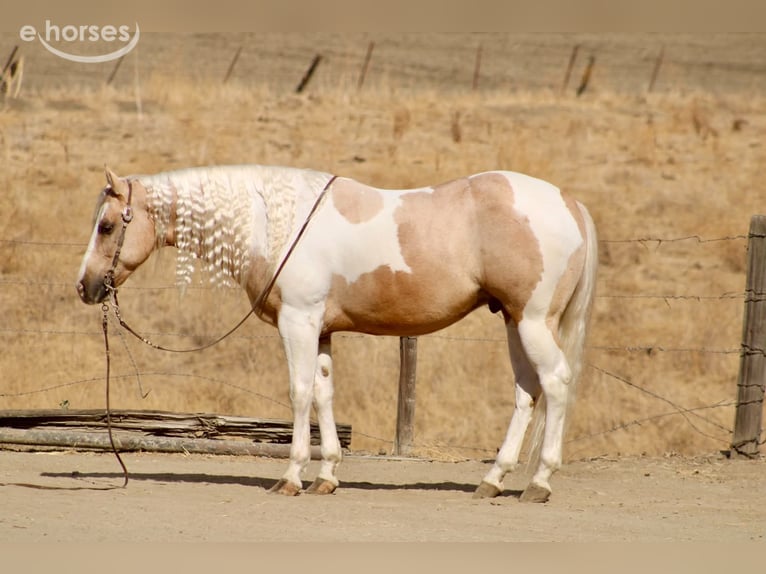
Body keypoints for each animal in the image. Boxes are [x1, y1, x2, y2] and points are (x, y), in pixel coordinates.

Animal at [76, 164, 597, 502]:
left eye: (107, 226)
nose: (84, 286)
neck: (274, 222)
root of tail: (569, 202)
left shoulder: (298, 322)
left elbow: (299, 393)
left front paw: (292, 476)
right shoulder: (321, 330)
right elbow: (324, 393)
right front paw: (326, 474)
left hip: (532, 321)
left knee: (555, 384)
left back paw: (539, 482)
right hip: (513, 321)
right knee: (527, 392)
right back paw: (493, 480)